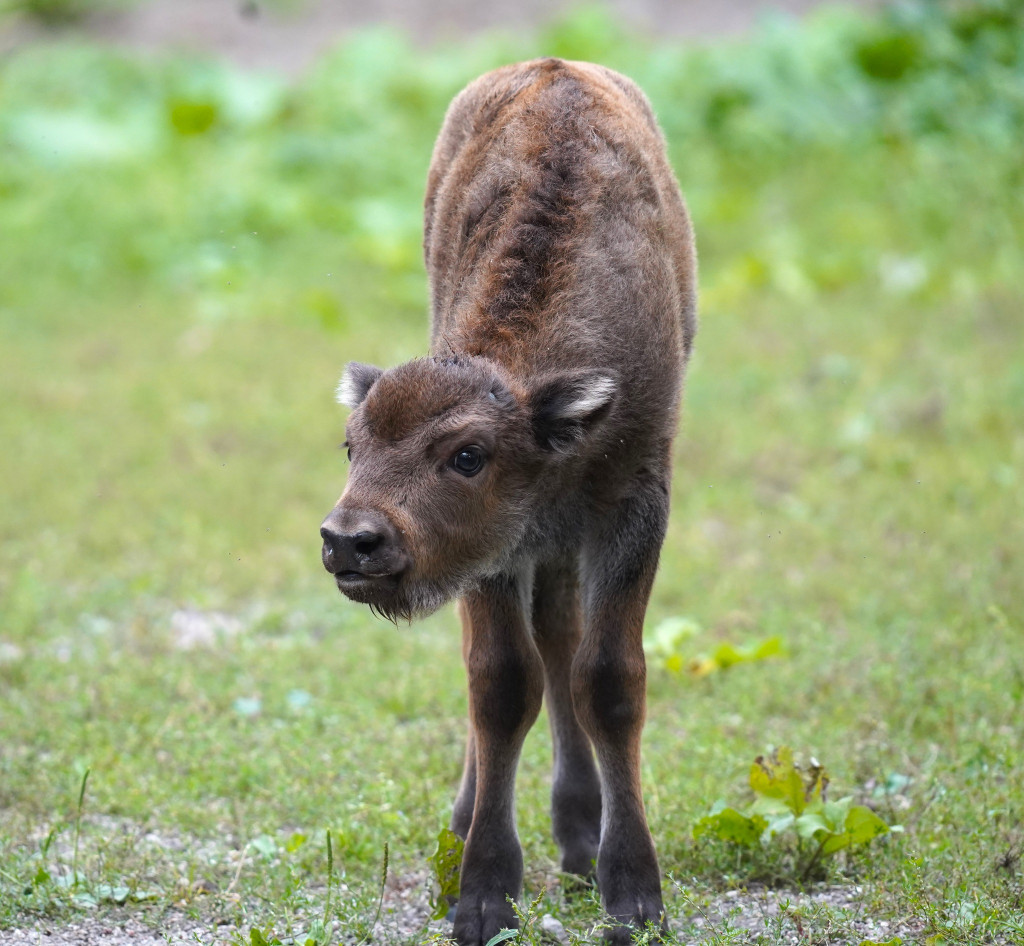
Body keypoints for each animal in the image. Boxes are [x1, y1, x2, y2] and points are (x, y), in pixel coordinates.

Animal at [321, 60, 696, 946]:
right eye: (352, 446)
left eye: (467, 455)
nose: (349, 541)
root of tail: (558, 64)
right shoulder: (494, 554)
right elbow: (499, 684)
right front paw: (483, 892)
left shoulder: (633, 510)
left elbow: (609, 680)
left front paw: (631, 892)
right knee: (534, 649)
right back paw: (479, 825)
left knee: (564, 641)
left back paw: (579, 834)